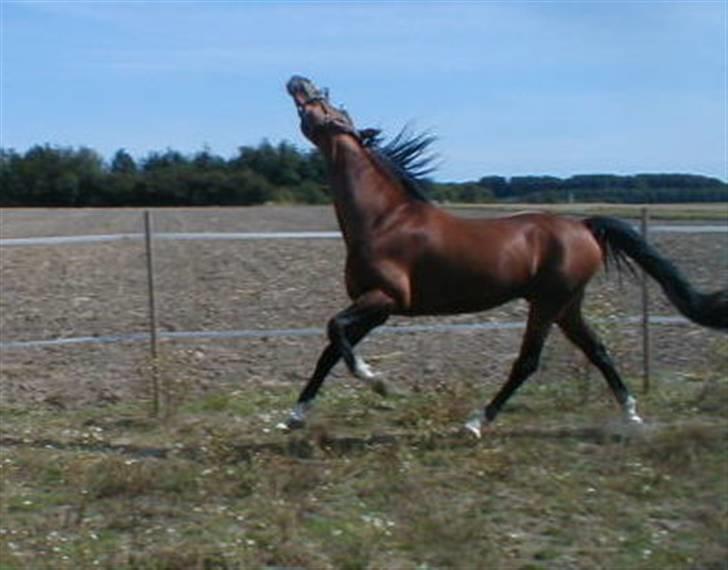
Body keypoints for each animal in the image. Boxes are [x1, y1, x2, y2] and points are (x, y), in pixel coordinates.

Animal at [278, 74, 728, 434]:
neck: (384, 219)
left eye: (326, 103)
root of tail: (584, 226)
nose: (297, 79)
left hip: (548, 303)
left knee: (527, 362)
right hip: (567, 305)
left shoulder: (384, 299)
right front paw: (294, 417)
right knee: (597, 350)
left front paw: (378, 381)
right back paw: (631, 415)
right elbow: (329, 351)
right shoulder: (374, 306)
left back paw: (476, 423)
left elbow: (335, 332)